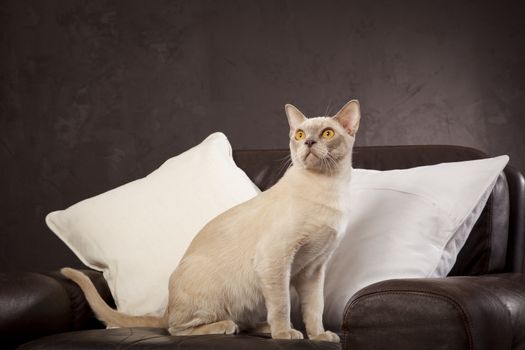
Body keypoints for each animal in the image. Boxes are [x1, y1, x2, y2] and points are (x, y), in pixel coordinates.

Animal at [59, 98, 358, 342]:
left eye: (327, 133)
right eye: (300, 134)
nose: (308, 142)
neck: (329, 189)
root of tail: (167, 308)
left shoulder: (313, 269)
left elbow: (315, 308)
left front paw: (319, 336)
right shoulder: (276, 259)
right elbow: (282, 304)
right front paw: (285, 334)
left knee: (239, 322)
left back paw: (263, 328)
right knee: (176, 328)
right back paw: (232, 327)